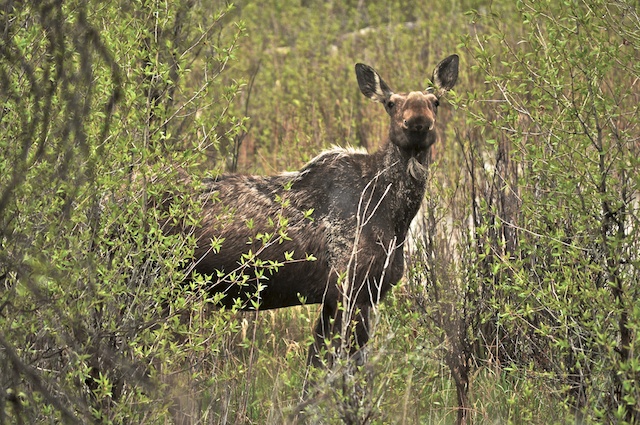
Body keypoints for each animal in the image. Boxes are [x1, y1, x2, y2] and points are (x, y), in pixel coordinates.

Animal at [188, 54, 459, 368]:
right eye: (391, 103)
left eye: (435, 101)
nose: (417, 121)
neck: (396, 215)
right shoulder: (349, 289)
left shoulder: (336, 298)